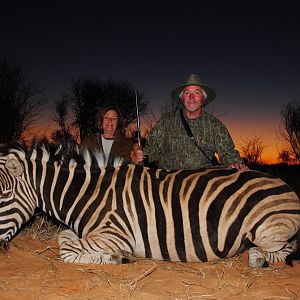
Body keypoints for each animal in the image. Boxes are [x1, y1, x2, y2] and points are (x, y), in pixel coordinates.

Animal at [0, 142, 298, 268]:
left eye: (4, 194)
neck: (87, 194)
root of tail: (288, 187)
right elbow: (64, 237)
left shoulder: (115, 234)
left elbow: (67, 252)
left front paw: (116, 258)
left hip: (267, 231)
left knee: (282, 250)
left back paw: (257, 258)